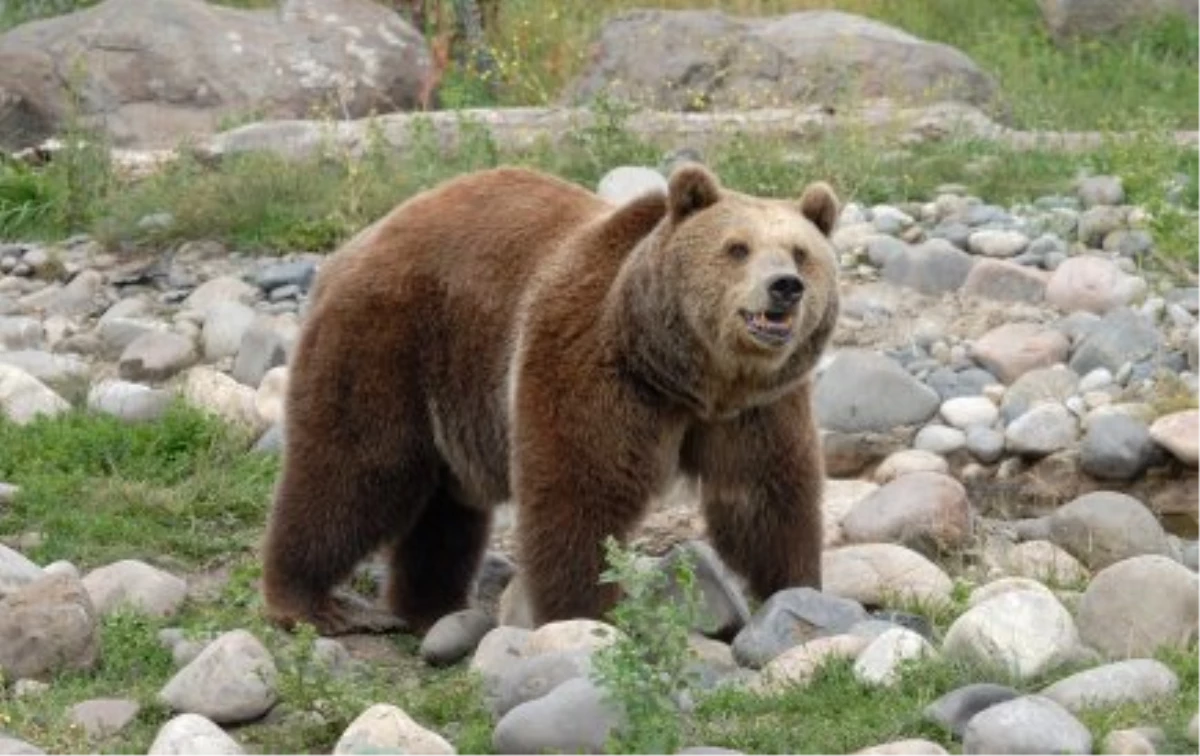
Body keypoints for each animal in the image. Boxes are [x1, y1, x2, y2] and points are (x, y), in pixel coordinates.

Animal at [262, 163, 844, 638]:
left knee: (446, 507)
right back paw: (310, 602)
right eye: (737, 247)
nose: (784, 286)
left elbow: (764, 495)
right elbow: (580, 492)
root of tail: (356, 244)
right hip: (389, 340)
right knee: (356, 469)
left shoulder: (758, 406)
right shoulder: (594, 367)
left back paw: (432, 606)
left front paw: (797, 591)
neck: (687, 374)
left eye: (802, 253)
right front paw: (582, 616)